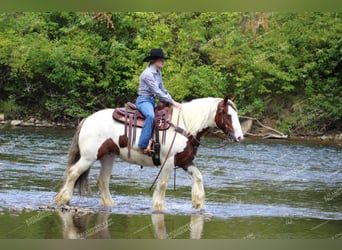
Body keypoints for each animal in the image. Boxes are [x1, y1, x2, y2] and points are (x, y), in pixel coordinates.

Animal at [54, 95, 243, 211]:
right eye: (227, 115)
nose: (240, 136)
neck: (186, 125)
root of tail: (87, 119)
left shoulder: (185, 161)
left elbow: (198, 177)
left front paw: (198, 204)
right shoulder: (168, 162)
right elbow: (163, 184)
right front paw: (159, 207)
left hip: (108, 156)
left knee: (103, 180)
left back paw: (109, 203)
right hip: (89, 157)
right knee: (73, 172)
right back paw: (62, 199)